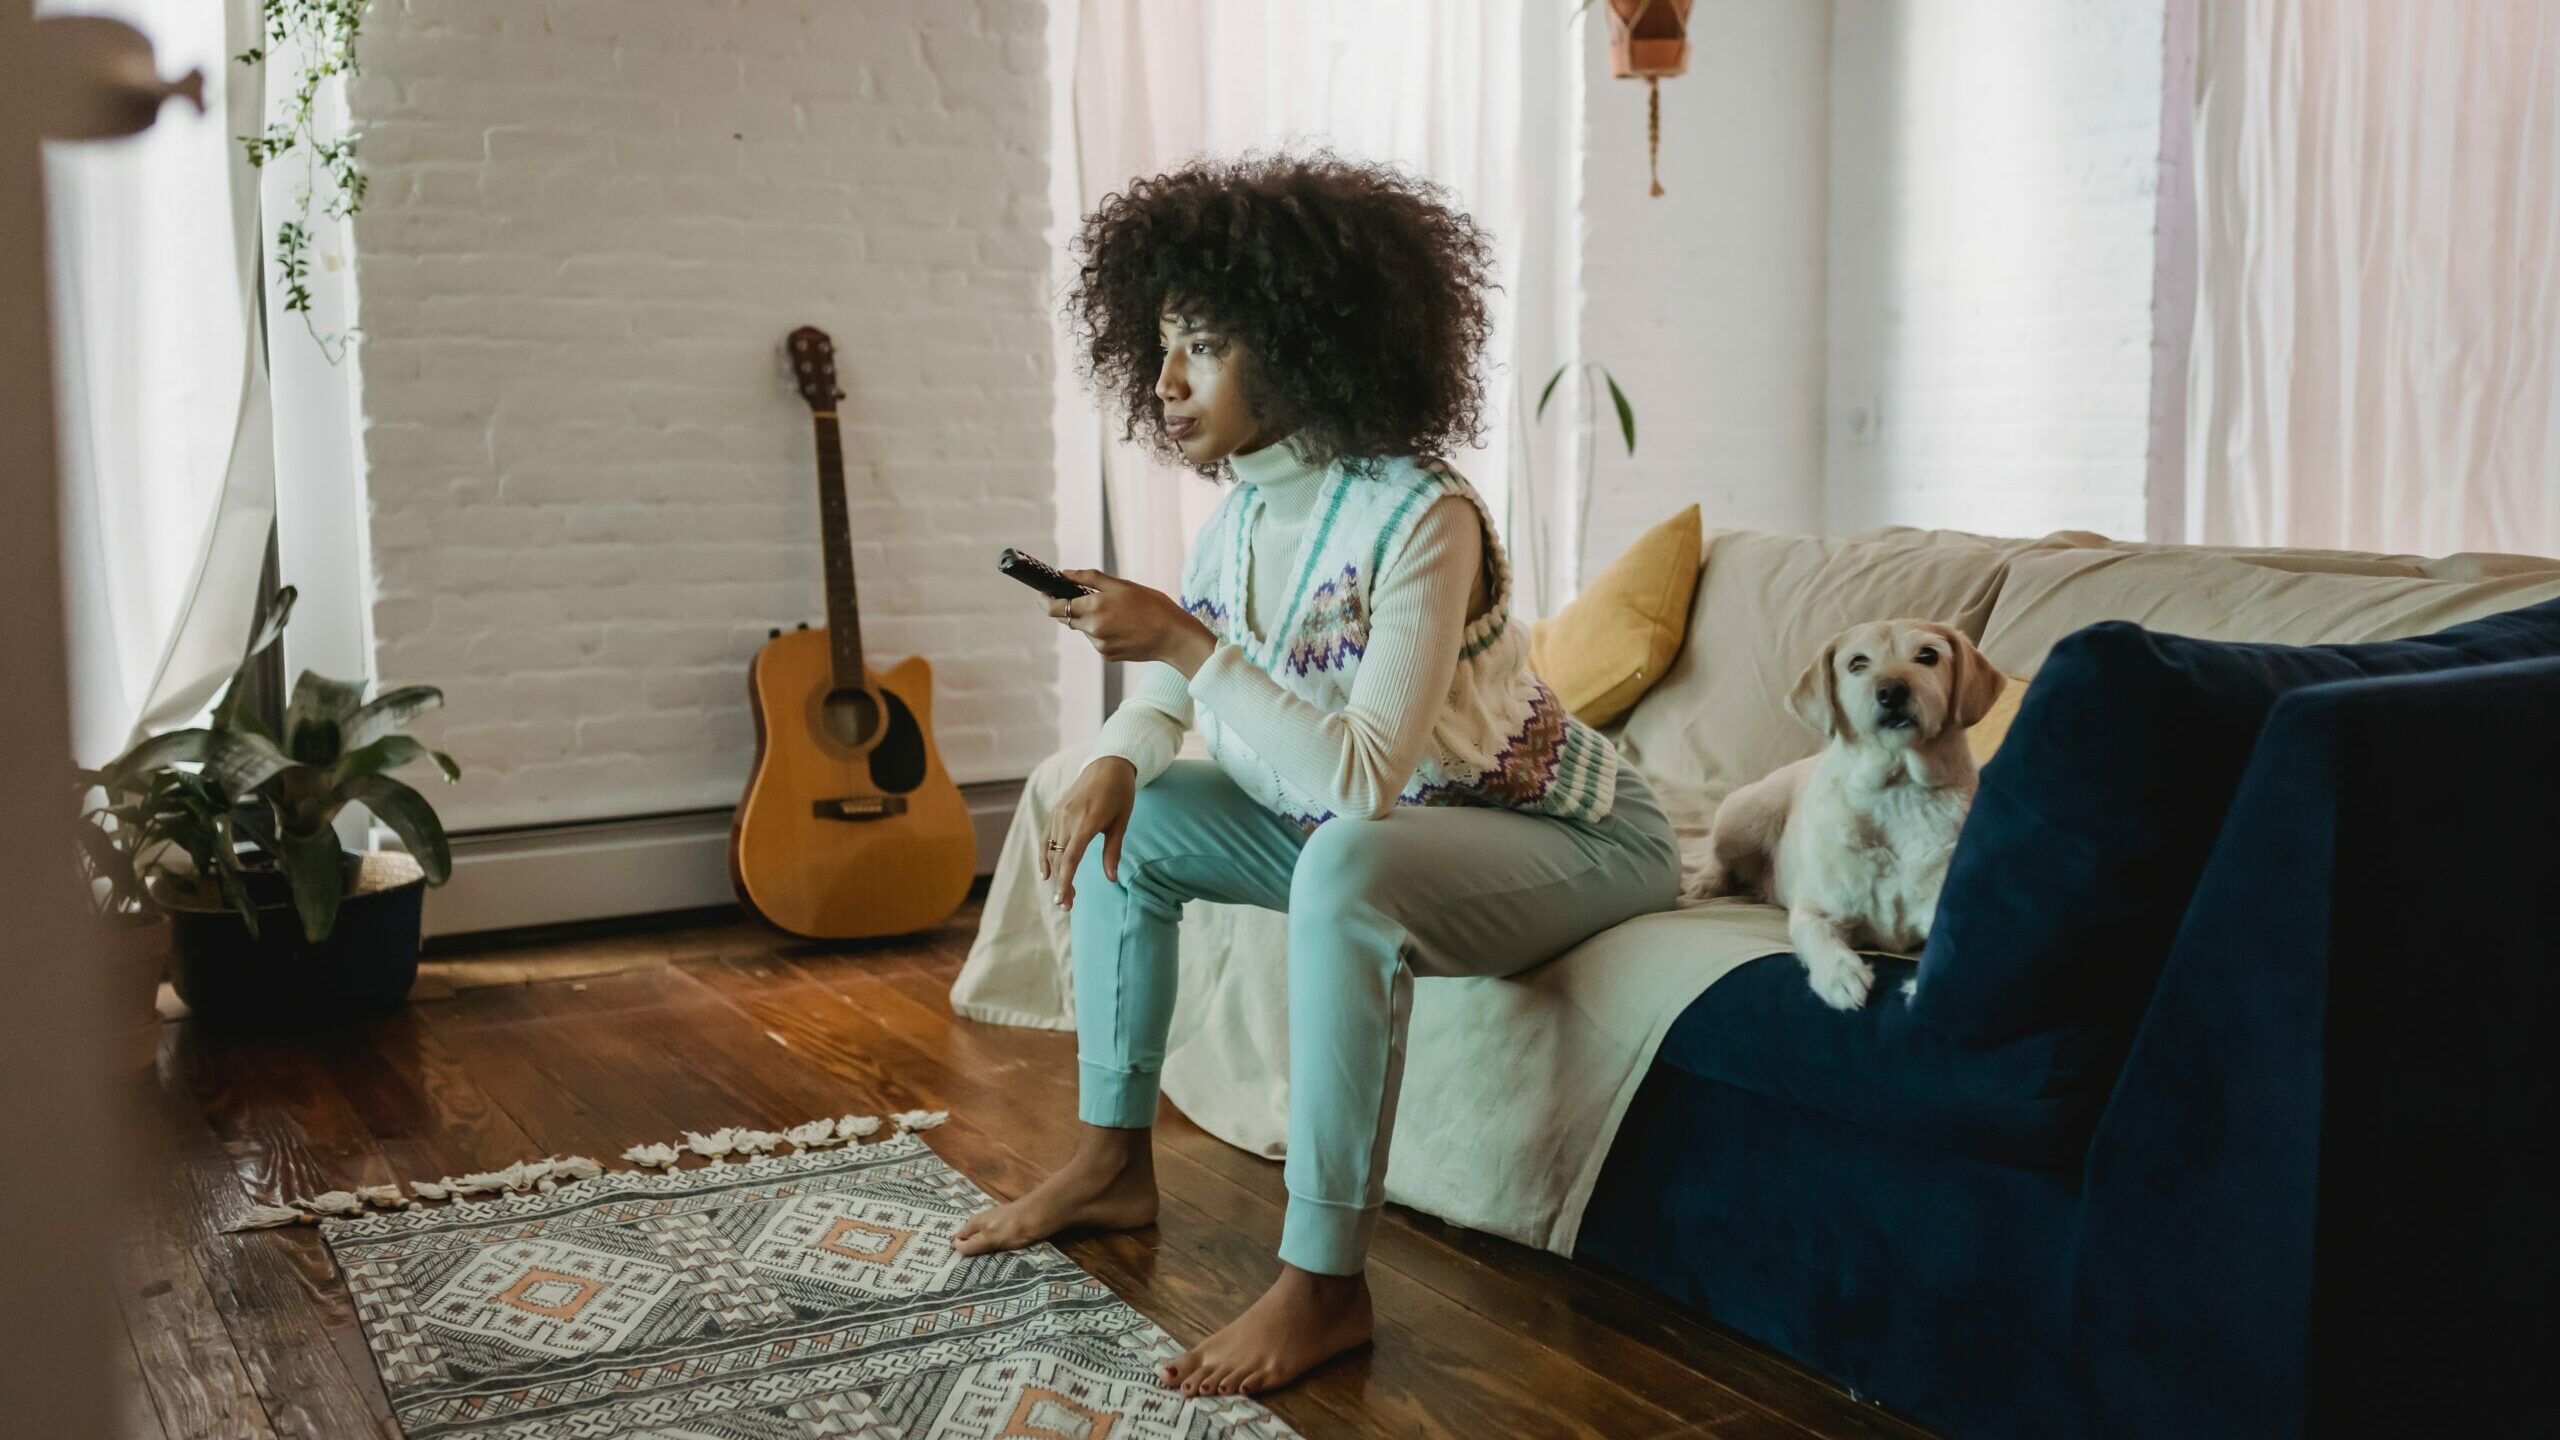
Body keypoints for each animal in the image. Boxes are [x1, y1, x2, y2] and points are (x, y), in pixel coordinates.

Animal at [1689, 617, 2007, 1009]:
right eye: (1857, 663)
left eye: (1928, 656)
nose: (1891, 691)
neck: (1897, 787)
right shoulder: (1813, 910)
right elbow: (1818, 934)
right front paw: (1840, 974)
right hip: (1745, 815)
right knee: (1719, 858)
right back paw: (1706, 882)